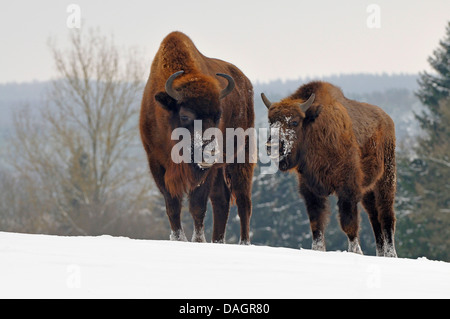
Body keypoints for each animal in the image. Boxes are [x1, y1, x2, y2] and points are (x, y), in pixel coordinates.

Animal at [139, 31, 255, 245]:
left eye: (218, 116)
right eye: (185, 116)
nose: (211, 152)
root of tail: (246, 83)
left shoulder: (204, 172)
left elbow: (197, 206)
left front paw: (198, 240)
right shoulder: (157, 163)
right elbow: (172, 206)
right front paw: (178, 239)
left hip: (241, 157)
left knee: (243, 201)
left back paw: (244, 243)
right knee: (221, 200)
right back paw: (218, 241)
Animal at [264, 82, 398, 258]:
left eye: (294, 122)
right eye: (271, 122)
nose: (272, 145)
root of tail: (388, 120)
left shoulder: (347, 190)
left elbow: (348, 223)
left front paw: (355, 252)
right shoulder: (311, 191)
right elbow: (316, 225)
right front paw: (317, 250)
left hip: (386, 179)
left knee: (386, 216)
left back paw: (391, 254)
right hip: (368, 190)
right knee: (374, 217)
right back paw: (381, 254)